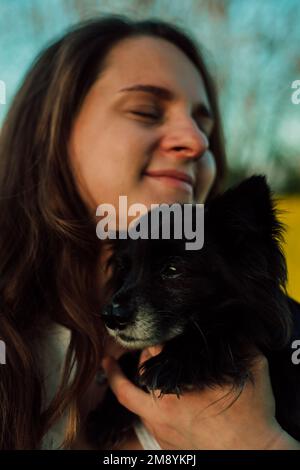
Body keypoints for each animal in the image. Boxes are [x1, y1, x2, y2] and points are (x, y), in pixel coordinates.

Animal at [88, 176, 300, 448]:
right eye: (124, 269)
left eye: (172, 269)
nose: (110, 316)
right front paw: (107, 414)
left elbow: (224, 324)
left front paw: (175, 360)